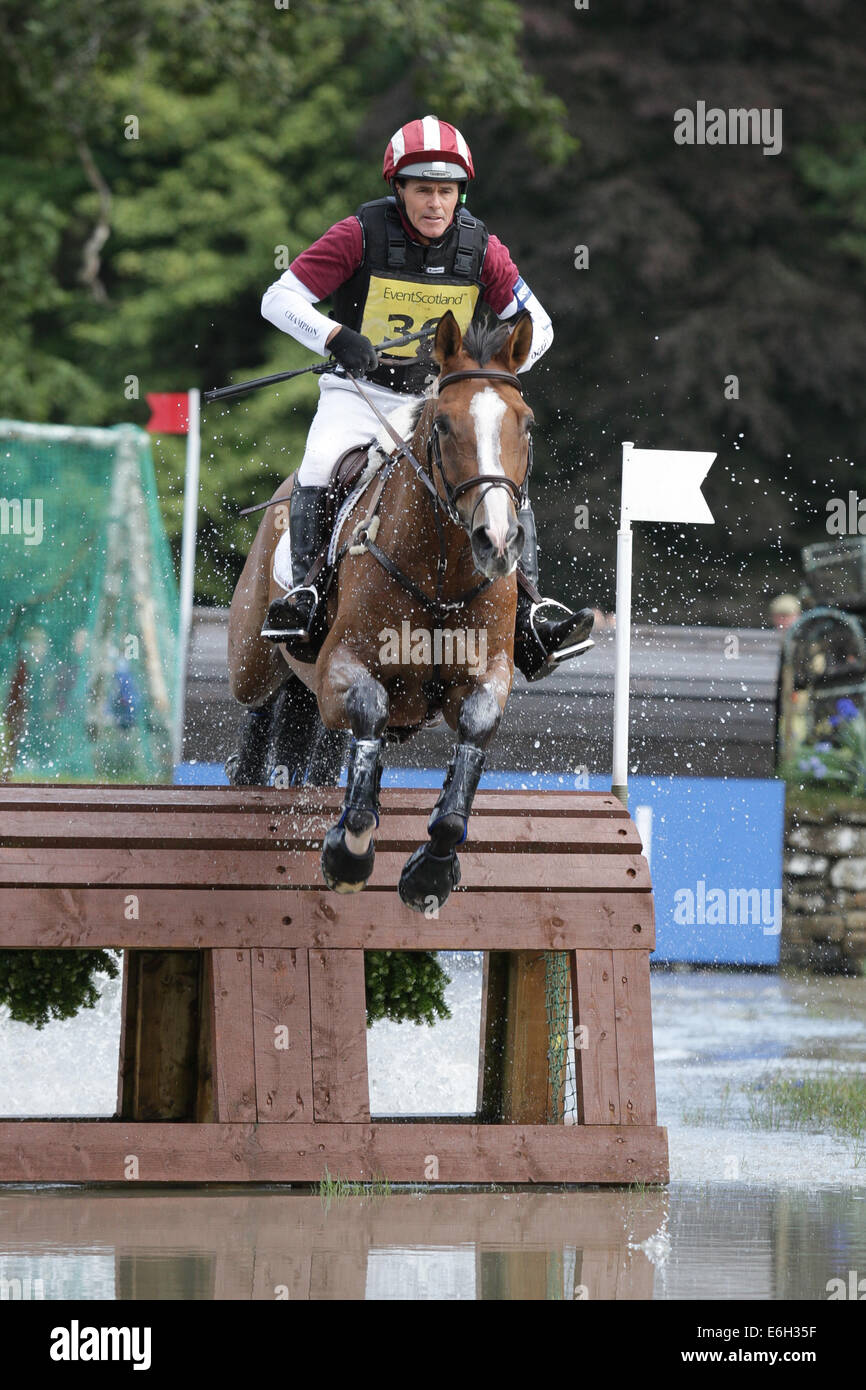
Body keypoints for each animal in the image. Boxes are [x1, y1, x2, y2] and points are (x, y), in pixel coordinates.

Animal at [230, 307, 539, 911]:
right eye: (443, 426)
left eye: (527, 424)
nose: (496, 541)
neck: (442, 568)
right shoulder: (340, 669)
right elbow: (369, 707)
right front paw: (348, 852)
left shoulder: (487, 673)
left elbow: (475, 731)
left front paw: (430, 873)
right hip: (252, 658)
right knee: (262, 696)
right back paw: (246, 770)